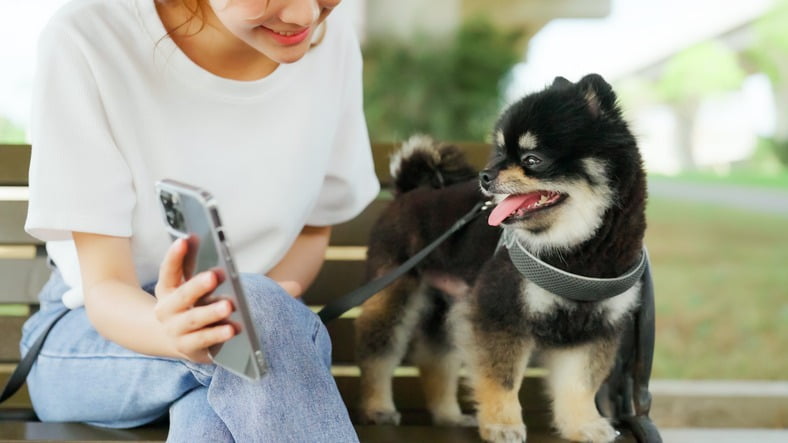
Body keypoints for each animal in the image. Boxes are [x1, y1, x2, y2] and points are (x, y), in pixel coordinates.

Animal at [358, 73, 648, 443]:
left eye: (532, 159)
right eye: (499, 152)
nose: (485, 175)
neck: (578, 253)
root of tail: (407, 190)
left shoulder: (595, 328)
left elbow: (581, 385)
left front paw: (583, 424)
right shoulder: (500, 313)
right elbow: (503, 379)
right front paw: (502, 424)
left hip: (446, 306)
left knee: (436, 361)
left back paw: (448, 415)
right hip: (395, 294)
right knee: (378, 355)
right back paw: (377, 407)